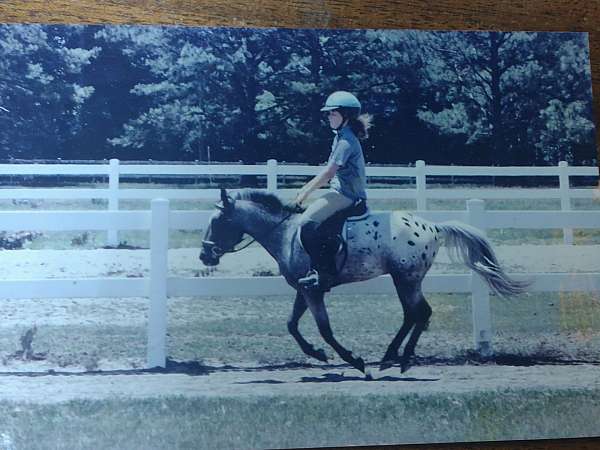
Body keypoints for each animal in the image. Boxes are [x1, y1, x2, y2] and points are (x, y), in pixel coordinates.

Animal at [199, 188, 528, 374]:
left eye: (218, 222)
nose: (204, 256)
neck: (286, 234)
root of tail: (433, 226)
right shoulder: (304, 289)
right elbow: (292, 325)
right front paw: (317, 354)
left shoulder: (314, 292)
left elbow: (325, 330)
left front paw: (354, 360)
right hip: (404, 279)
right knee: (414, 315)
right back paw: (392, 357)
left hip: (406, 278)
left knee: (419, 313)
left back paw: (399, 358)